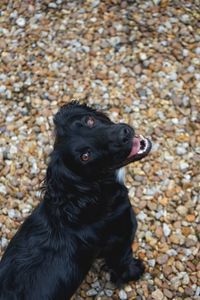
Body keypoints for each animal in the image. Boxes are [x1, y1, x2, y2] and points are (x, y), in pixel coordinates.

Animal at [0, 102, 152, 298]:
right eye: (85, 156)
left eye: (89, 120)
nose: (124, 134)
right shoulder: (121, 244)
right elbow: (123, 265)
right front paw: (136, 271)